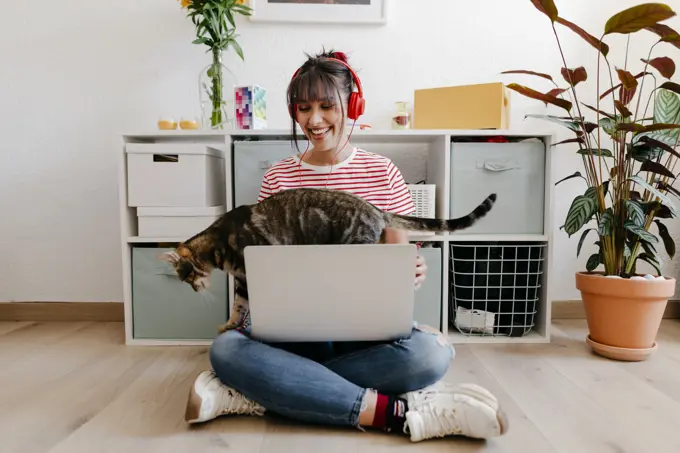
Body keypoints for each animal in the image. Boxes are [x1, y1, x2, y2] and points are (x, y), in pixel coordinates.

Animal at [161, 187, 496, 332]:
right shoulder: (244, 279)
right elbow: (239, 305)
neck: (219, 243)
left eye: (187, 277)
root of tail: (375, 210)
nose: (193, 289)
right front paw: (230, 324)